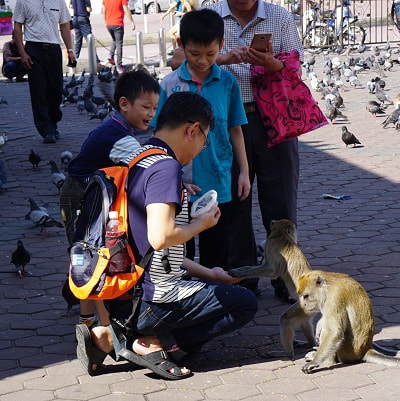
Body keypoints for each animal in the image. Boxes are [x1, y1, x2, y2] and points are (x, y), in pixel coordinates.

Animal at [228, 220, 316, 358]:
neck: (281, 235)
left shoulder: (271, 247)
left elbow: (272, 271)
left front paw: (240, 273)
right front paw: (240, 270)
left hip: (306, 304)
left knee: (285, 319)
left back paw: (287, 353)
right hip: (308, 309)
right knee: (304, 322)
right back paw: (309, 344)